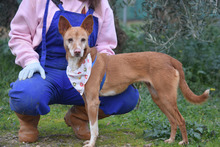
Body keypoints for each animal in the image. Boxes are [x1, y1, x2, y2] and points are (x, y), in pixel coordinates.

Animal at [58, 14, 210, 146]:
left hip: (167, 97)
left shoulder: (93, 102)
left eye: (83, 39)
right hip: (159, 98)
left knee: (181, 120)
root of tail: (170, 59)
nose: (77, 52)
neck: (82, 62)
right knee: (173, 121)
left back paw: (184, 142)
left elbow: (94, 128)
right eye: (70, 39)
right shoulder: (87, 101)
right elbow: (91, 124)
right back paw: (171, 140)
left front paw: (91, 143)